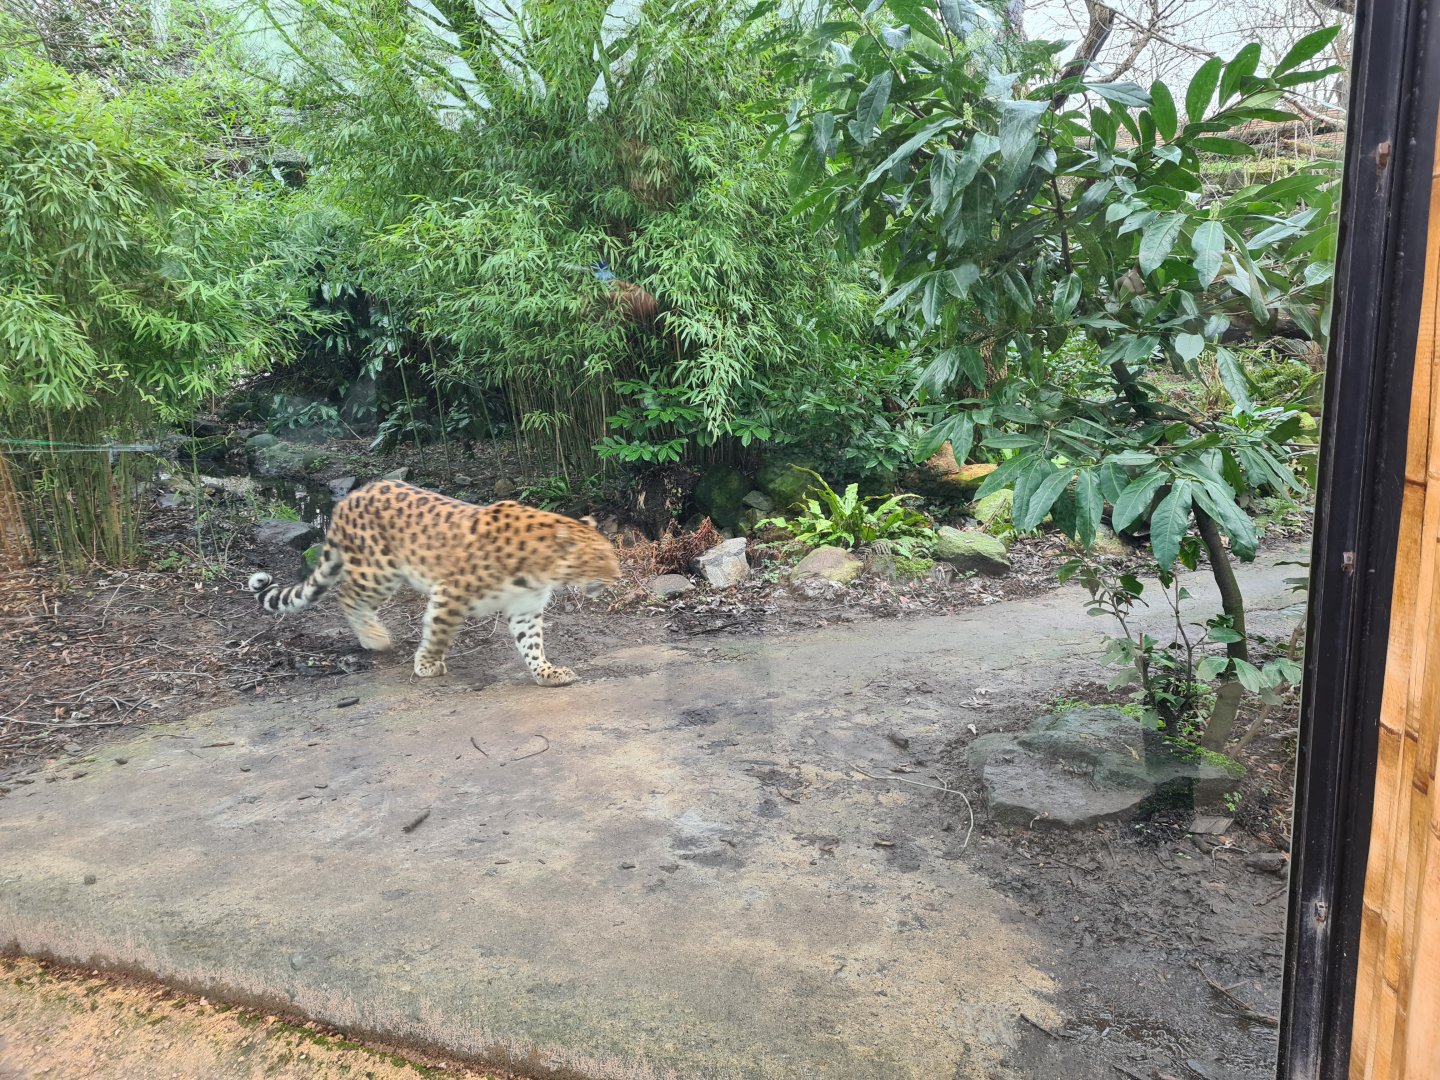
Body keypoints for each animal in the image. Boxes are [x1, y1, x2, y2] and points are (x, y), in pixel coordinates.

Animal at [246, 480, 619, 685]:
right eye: (599, 558)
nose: (618, 577)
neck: (542, 569)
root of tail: (348, 499)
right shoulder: (450, 592)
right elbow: (439, 631)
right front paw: (426, 665)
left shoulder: (525, 608)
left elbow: (532, 644)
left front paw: (546, 672)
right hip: (378, 570)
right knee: (346, 595)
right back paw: (375, 638)